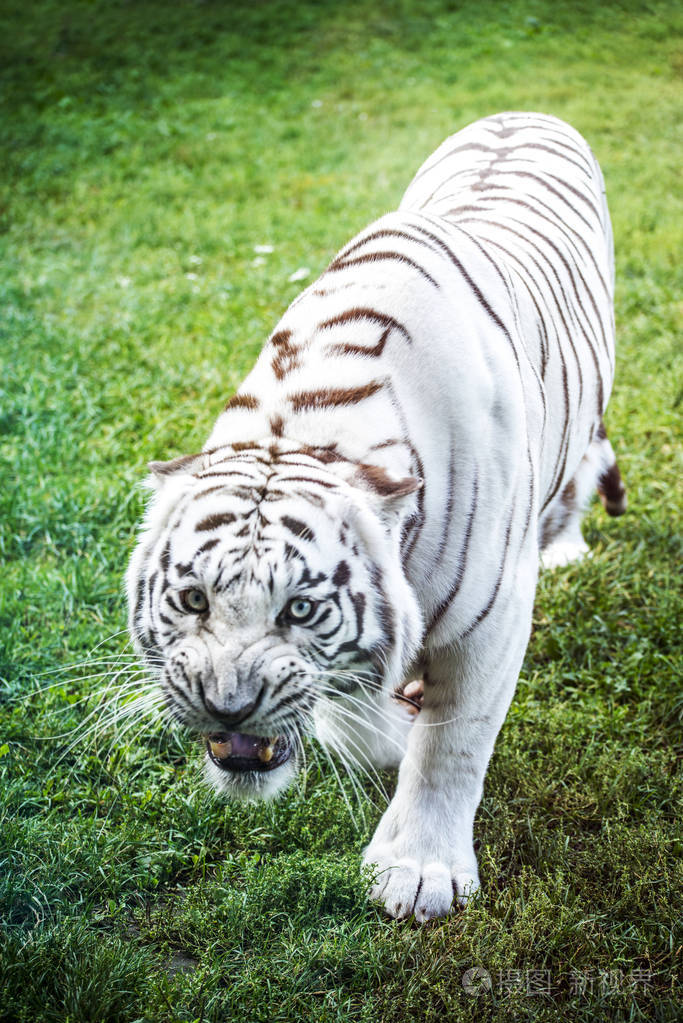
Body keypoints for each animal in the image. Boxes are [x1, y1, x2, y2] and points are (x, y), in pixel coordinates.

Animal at [126, 111, 627, 922]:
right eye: (194, 599)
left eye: (300, 608)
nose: (228, 710)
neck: (304, 425)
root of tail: (519, 113)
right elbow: (361, 725)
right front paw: (391, 726)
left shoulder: (492, 620)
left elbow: (451, 746)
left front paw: (418, 871)